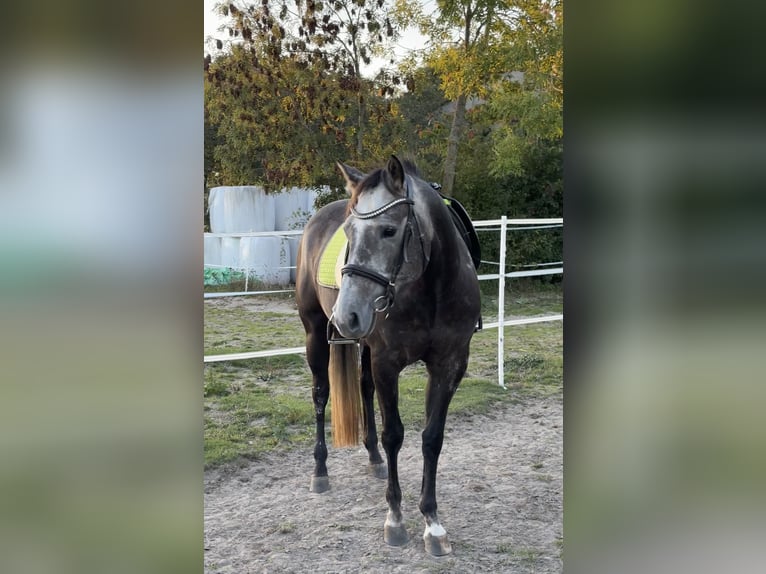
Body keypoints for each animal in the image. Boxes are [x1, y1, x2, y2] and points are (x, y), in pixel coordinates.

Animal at [295, 155, 481, 556]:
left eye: (390, 231)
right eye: (349, 232)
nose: (346, 315)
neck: (430, 289)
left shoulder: (450, 364)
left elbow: (432, 437)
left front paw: (433, 523)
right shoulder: (387, 363)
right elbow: (393, 434)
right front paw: (395, 519)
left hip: (363, 346)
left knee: (363, 389)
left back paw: (374, 460)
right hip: (315, 335)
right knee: (320, 395)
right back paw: (320, 471)